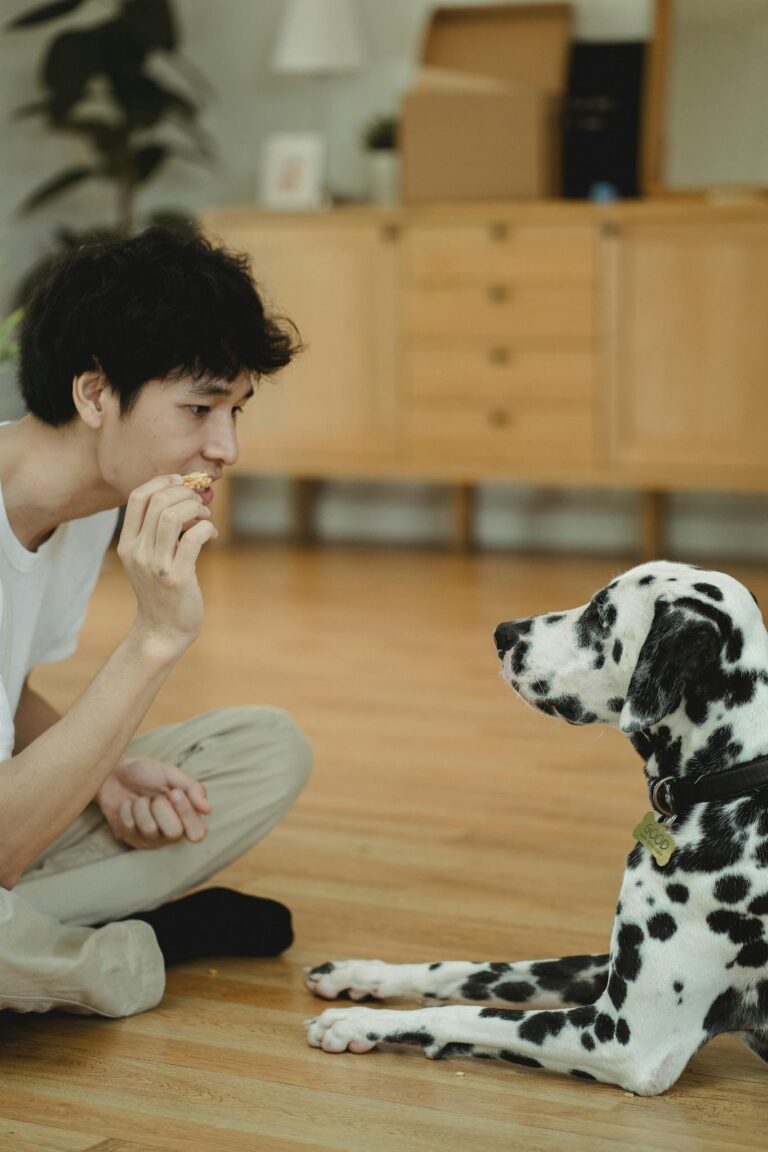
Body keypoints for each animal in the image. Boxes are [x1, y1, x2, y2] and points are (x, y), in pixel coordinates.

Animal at [303, 562, 768, 1092]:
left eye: (601, 615)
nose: (501, 633)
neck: (735, 776)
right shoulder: (604, 968)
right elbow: (467, 970)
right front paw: (362, 974)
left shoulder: (622, 1038)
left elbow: (462, 1012)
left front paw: (357, 1022)